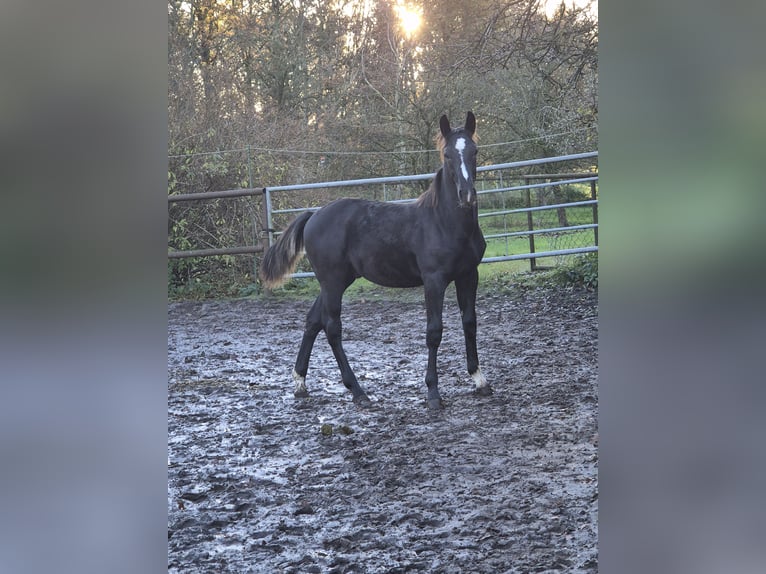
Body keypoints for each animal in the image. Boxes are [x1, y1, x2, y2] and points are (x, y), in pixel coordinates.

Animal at [259, 112, 492, 409]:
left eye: (475, 151)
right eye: (448, 154)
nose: (467, 195)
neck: (443, 222)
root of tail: (313, 215)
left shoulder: (468, 275)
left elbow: (470, 323)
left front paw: (480, 380)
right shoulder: (434, 280)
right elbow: (434, 331)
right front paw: (433, 393)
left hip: (336, 281)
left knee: (313, 321)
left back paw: (300, 383)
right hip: (332, 281)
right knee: (332, 327)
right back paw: (358, 391)